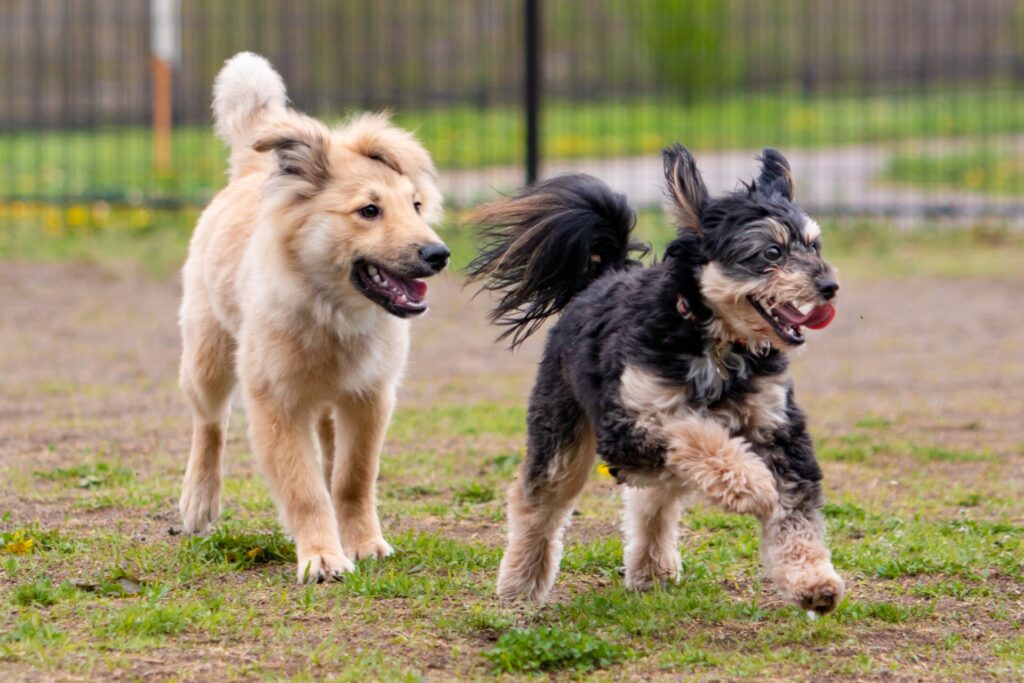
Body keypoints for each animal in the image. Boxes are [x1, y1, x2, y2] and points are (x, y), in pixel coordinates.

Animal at [177, 53, 448, 585]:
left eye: (415, 206)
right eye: (369, 211)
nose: (439, 254)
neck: (332, 313)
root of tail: (253, 169)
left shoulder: (368, 398)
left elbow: (352, 479)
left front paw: (362, 543)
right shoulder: (276, 403)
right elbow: (303, 490)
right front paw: (322, 556)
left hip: (326, 398)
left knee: (327, 449)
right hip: (208, 358)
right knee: (210, 423)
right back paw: (199, 501)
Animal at [468, 144, 843, 614]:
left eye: (813, 246)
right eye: (771, 254)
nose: (829, 286)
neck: (716, 344)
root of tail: (605, 274)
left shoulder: (778, 426)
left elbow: (795, 510)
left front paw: (812, 580)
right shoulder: (628, 424)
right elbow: (693, 433)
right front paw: (751, 486)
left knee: (652, 501)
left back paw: (652, 572)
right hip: (561, 431)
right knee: (539, 500)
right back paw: (521, 581)